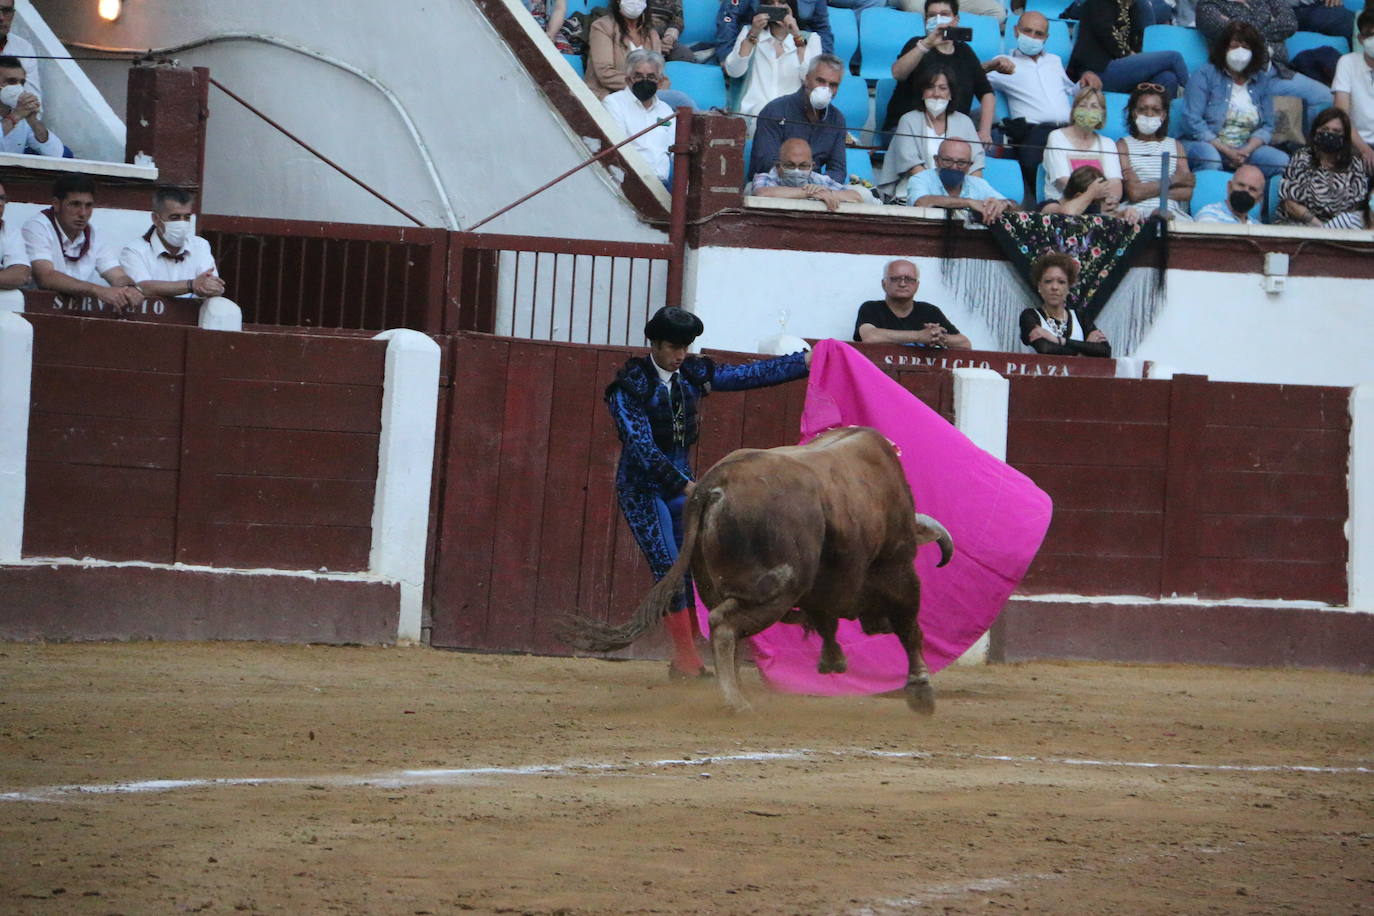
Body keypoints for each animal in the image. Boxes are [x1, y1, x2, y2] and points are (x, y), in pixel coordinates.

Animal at [563, 428, 950, 714]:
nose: (876, 625)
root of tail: (714, 486)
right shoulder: (899, 571)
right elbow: (910, 628)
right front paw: (921, 691)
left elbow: (825, 618)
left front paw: (833, 660)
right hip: (776, 589)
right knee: (723, 626)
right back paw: (737, 701)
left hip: (721, 585)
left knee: (730, 633)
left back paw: (736, 691)